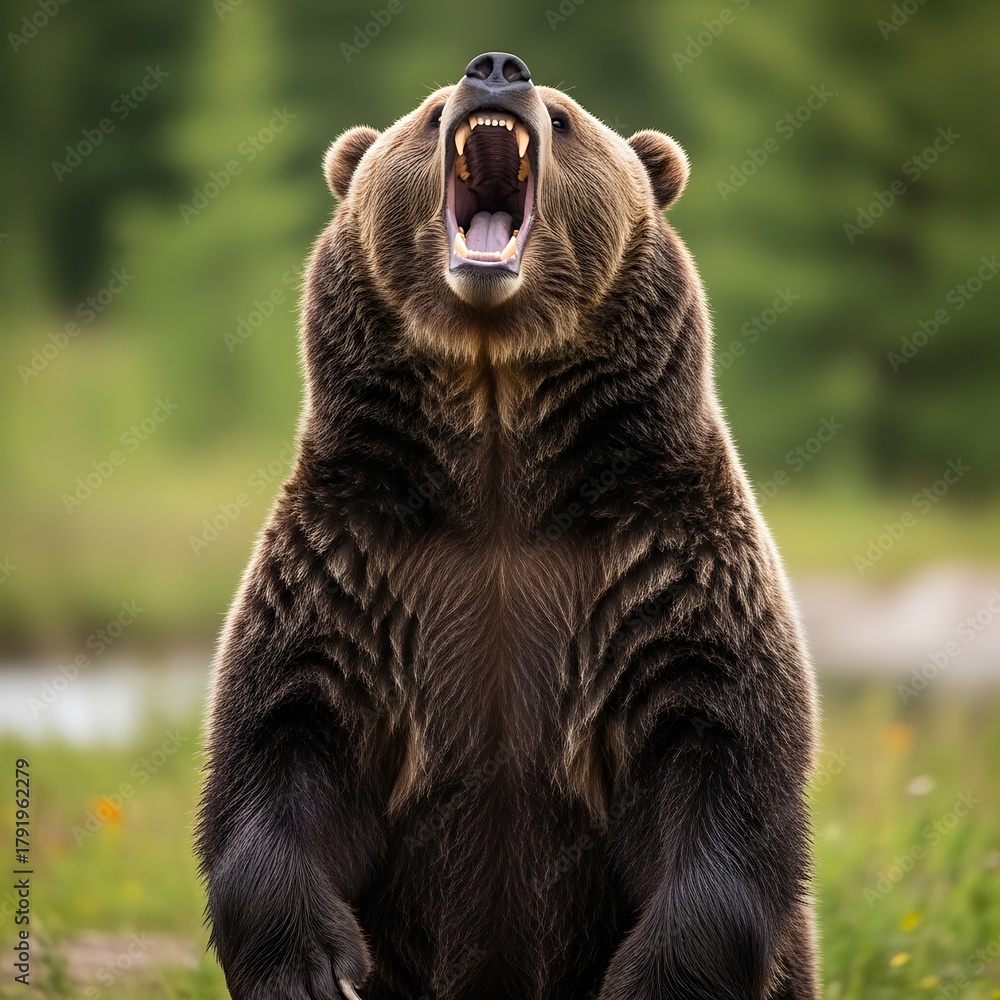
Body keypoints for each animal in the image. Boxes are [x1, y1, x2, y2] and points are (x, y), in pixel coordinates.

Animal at [197, 51, 820, 1000]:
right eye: (426, 114)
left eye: (564, 116)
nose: (496, 70)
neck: (496, 435)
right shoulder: (357, 566)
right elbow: (286, 735)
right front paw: (310, 968)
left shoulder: (658, 571)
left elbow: (719, 752)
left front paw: (655, 977)